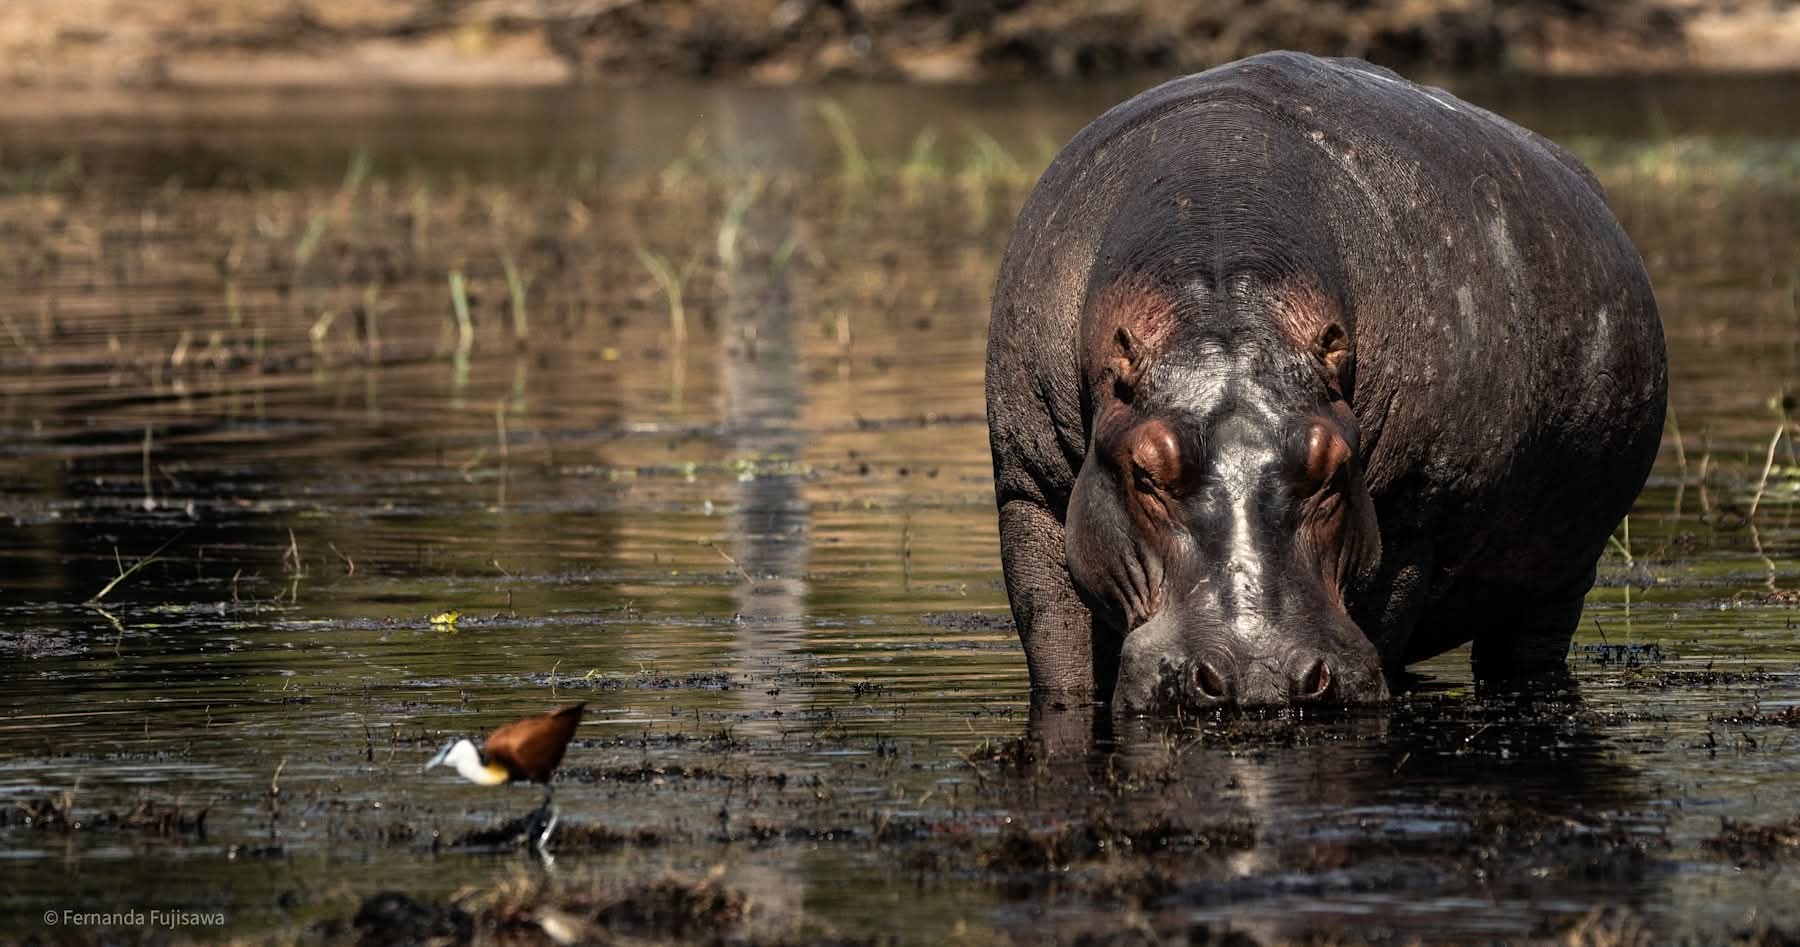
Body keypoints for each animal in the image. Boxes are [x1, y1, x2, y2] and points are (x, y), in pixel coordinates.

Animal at [986, 51, 1666, 713]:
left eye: (1335, 465)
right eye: (1145, 471)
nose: (1256, 674)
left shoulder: (1411, 518)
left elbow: (1380, 622)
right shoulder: (1028, 491)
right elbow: (1059, 654)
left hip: (1563, 573)